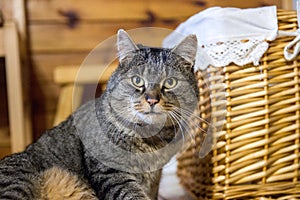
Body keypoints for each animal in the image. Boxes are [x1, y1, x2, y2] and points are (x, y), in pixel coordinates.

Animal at [0, 28, 199, 199]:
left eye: (170, 82)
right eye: (137, 80)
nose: (152, 100)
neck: (151, 141)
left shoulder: (154, 180)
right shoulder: (110, 173)